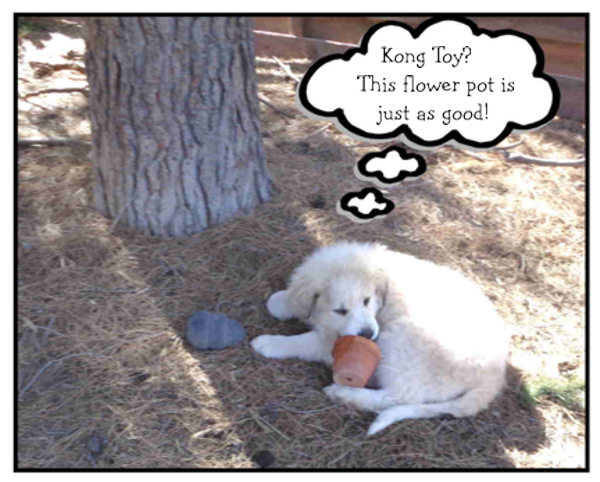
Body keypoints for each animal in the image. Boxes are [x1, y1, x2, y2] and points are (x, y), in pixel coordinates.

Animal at [251, 241, 507, 435]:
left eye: (366, 300)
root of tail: (494, 377)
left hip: (401, 341)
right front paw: (280, 302)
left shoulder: (334, 340)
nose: (367, 334)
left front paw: (270, 342)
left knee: (397, 396)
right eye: (340, 310)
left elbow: (306, 341)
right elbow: (295, 300)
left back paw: (344, 394)